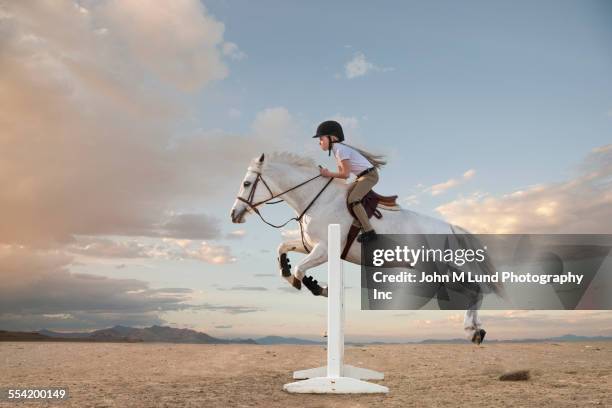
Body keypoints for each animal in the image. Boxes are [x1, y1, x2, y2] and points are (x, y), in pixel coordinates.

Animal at [232, 151, 494, 342]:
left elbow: (300, 270)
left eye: (246, 183)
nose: (234, 215)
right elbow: (283, 249)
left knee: (475, 290)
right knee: (474, 291)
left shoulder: (325, 250)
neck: (317, 200)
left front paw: (318, 287)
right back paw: (476, 330)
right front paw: (287, 271)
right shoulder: (312, 245)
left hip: (444, 270)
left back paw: (473, 330)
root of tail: (451, 227)